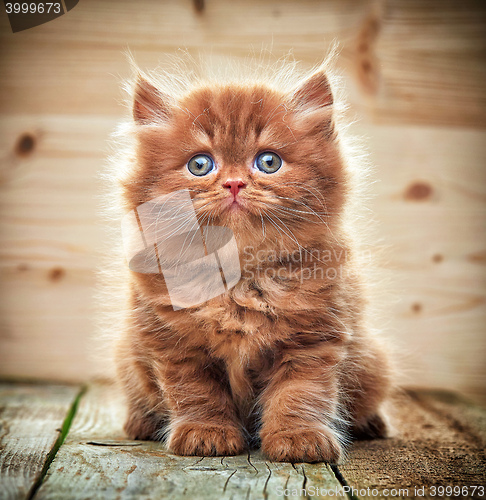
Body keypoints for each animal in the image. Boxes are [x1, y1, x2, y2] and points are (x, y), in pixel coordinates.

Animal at [112, 56, 392, 462]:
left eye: (269, 162)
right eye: (200, 165)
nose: (234, 184)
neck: (240, 277)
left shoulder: (313, 340)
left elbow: (301, 394)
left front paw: (299, 438)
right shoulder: (175, 345)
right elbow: (196, 394)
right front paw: (205, 433)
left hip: (372, 360)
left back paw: (371, 424)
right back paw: (141, 423)